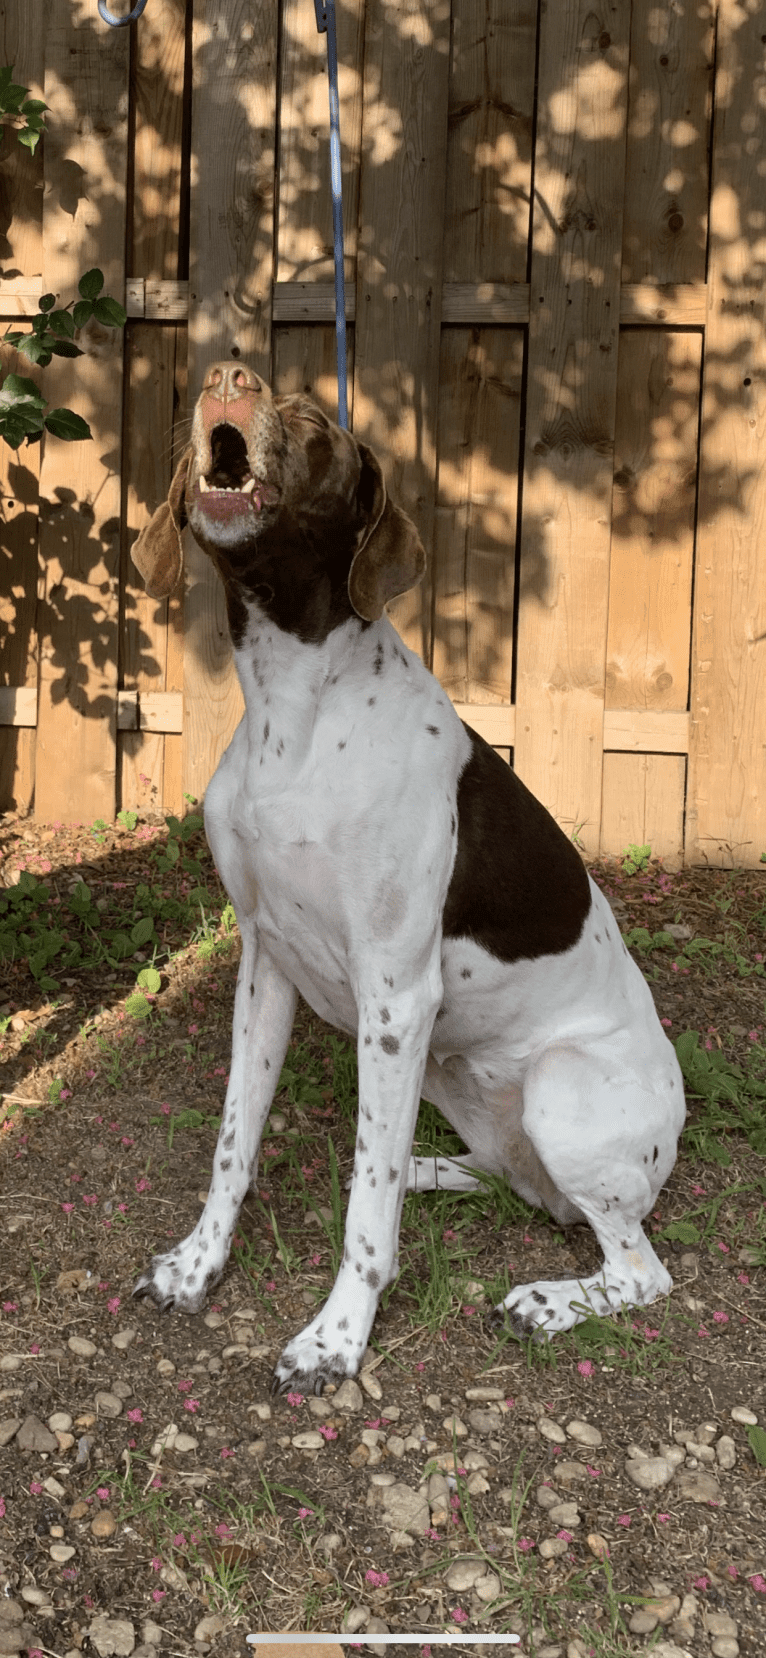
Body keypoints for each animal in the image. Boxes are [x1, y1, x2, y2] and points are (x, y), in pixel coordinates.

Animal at [128, 366, 686, 1399]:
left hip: (553, 1088)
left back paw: (548, 1298)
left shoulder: (394, 996)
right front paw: (198, 1263)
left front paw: (337, 1339)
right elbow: (234, 1146)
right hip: (446, 1075)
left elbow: (364, 1220)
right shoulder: (265, 968)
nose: (226, 377)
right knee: (496, 1176)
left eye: (312, 419)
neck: (297, 706)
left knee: (638, 1267)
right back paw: (429, 1170)